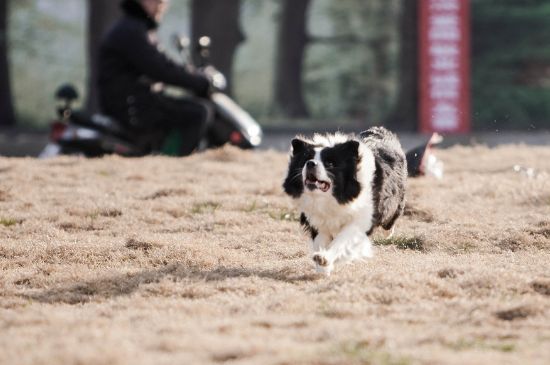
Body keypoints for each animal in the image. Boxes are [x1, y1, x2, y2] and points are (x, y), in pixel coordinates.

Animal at [286, 126, 408, 274]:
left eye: (330, 163)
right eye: (305, 160)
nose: (310, 163)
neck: (334, 197)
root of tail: (382, 130)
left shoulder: (361, 218)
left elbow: (342, 240)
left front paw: (325, 258)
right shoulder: (317, 220)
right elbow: (321, 240)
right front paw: (323, 267)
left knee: (391, 218)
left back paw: (388, 233)